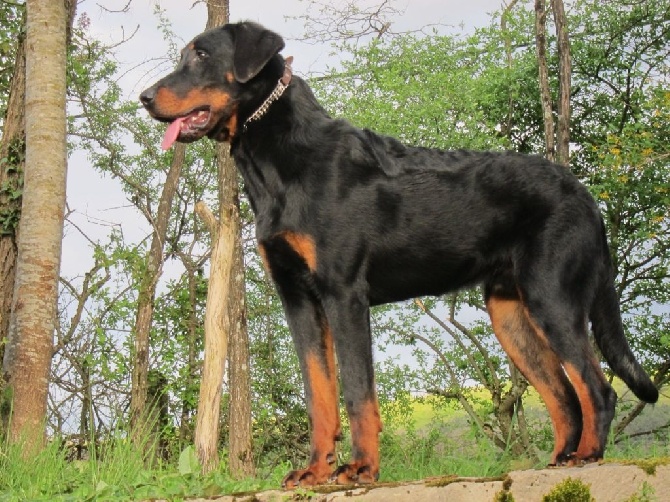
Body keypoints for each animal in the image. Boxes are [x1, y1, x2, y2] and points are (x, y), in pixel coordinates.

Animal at [139, 22, 660, 486]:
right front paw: (316, 471)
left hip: (553, 299)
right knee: (565, 397)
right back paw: (556, 463)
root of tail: (586, 195)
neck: (279, 159)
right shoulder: (299, 300)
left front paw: (361, 468)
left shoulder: (343, 294)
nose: (143, 97)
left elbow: (356, 391)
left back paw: (587, 457)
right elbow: (318, 395)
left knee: (597, 389)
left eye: (202, 55)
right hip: (510, 315)